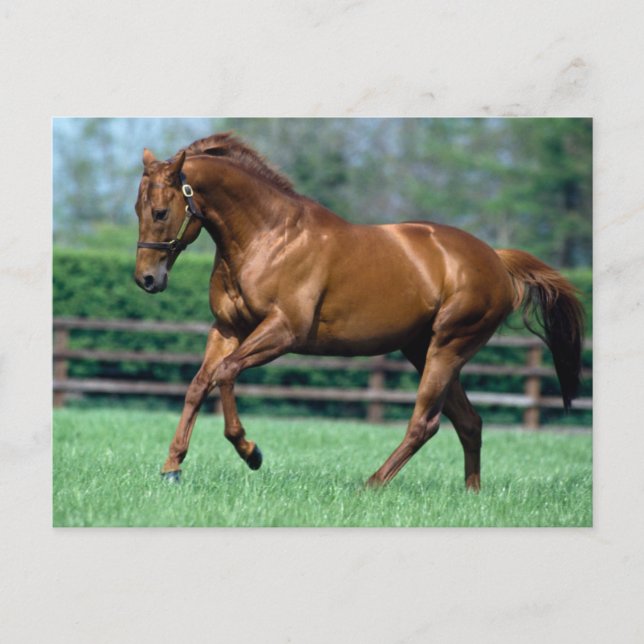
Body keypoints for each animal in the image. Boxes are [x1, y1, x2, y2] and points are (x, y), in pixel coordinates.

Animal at [134, 132, 584, 490]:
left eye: (160, 212)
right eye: (138, 210)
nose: (147, 280)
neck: (269, 237)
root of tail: (496, 260)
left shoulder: (283, 332)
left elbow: (225, 374)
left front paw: (250, 451)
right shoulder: (227, 328)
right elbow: (198, 385)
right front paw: (172, 467)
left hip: (448, 348)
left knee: (425, 423)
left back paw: (372, 484)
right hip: (422, 350)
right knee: (469, 422)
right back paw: (471, 494)